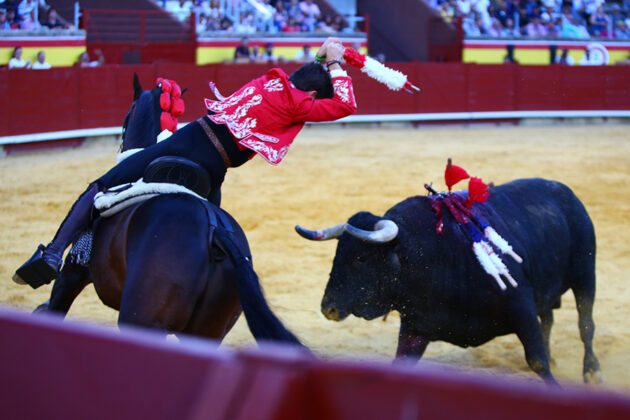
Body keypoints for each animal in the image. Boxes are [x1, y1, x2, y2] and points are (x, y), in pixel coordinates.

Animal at [36, 74, 304, 344]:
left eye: (126, 118)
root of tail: (215, 232)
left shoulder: (73, 272)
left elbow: (57, 303)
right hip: (208, 330)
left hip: (143, 318)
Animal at [298, 178, 604, 384]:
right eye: (337, 254)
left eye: (360, 258)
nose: (328, 308)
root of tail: (565, 192)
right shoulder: (416, 327)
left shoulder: (521, 306)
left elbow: (538, 362)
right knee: (549, 319)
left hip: (586, 274)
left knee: (585, 325)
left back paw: (592, 372)